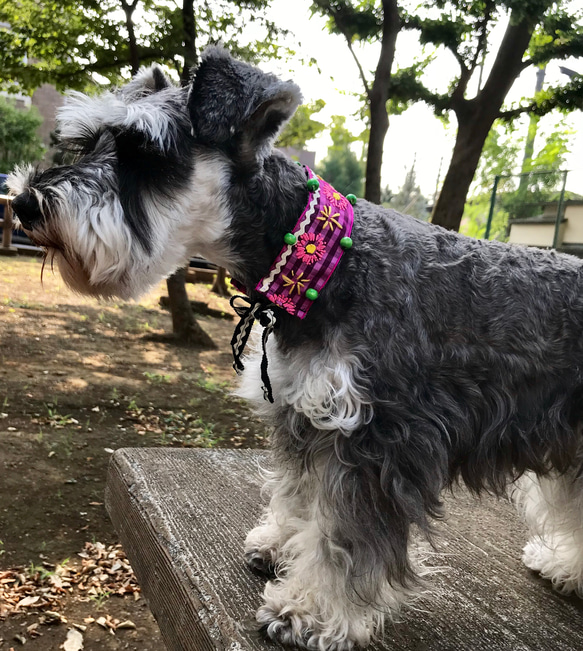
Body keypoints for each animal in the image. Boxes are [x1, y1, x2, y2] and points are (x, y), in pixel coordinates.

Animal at [9, 47, 583, 651]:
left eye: (146, 153)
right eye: (86, 141)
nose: (23, 203)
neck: (323, 260)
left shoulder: (375, 440)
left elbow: (345, 540)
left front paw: (311, 610)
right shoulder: (305, 411)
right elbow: (300, 494)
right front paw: (281, 543)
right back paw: (563, 565)